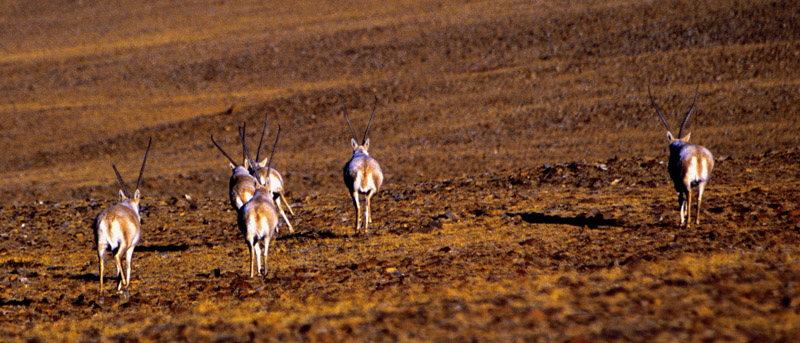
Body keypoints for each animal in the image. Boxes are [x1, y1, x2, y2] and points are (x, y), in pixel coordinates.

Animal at [95, 138, 152, 294]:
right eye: (139, 204)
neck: (128, 206)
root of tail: (107, 219)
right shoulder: (132, 247)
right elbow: (128, 264)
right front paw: (123, 286)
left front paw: (118, 286)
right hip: (123, 245)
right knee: (117, 257)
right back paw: (125, 284)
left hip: (101, 244)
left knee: (101, 262)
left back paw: (101, 290)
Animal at [238, 125, 282, 278]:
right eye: (270, 191)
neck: (260, 195)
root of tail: (257, 213)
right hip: (267, 236)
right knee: (265, 252)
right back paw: (266, 272)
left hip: (249, 236)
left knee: (252, 250)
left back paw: (252, 274)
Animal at [340, 97, 384, 234]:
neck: (360, 153)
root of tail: (364, 169)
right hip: (365, 190)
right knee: (365, 203)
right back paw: (363, 226)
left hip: (355, 190)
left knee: (361, 205)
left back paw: (359, 227)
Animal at [648, 84, 712, 227]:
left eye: (670, 146)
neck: (679, 145)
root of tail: (698, 155)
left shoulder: (676, 182)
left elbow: (680, 198)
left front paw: (682, 220)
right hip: (702, 181)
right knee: (699, 196)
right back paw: (696, 221)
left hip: (686, 181)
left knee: (688, 195)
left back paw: (687, 223)